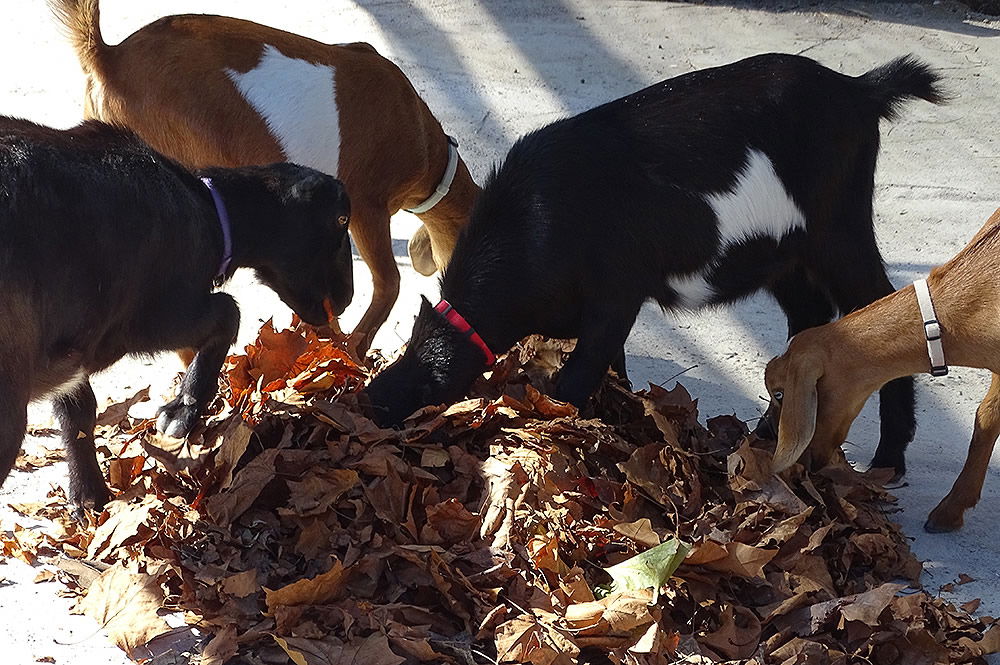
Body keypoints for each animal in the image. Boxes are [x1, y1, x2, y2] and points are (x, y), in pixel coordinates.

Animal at [0, 116, 354, 516]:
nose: (347, 298)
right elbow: (229, 312)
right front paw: (182, 413)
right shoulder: (150, 320)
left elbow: (78, 411)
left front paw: (89, 493)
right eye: (341, 218)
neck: (209, 211)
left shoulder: (72, 344)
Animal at [366, 53, 944, 478]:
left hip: (839, 233)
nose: (369, 413)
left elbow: (580, 374)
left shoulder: (618, 291)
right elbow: (613, 368)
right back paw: (765, 436)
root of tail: (858, 89)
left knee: (881, 300)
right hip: (784, 258)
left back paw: (889, 459)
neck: (538, 221)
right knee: (808, 316)